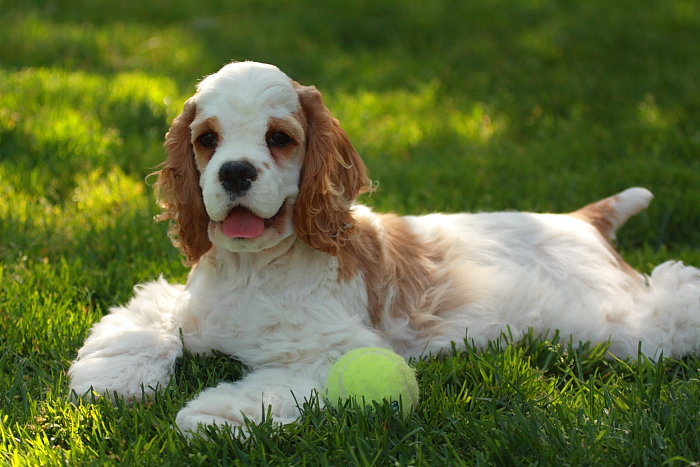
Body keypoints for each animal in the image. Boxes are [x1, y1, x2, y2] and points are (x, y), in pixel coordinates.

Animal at [67, 60, 700, 436]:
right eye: (206, 140)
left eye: (279, 138)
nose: (236, 172)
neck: (257, 268)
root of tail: (581, 220)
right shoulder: (181, 305)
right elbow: (143, 327)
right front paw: (110, 379)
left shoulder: (337, 350)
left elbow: (272, 384)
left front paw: (211, 412)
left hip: (614, 325)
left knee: (669, 306)